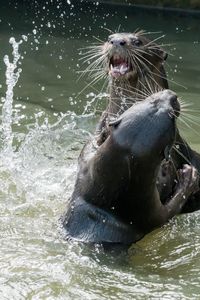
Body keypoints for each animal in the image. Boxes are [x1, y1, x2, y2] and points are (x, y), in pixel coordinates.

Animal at [62, 90, 198, 245]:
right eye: (171, 117)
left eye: (152, 100)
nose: (172, 95)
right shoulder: (144, 210)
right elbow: (168, 213)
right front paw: (188, 179)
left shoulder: (85, 169)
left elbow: (88, 147)